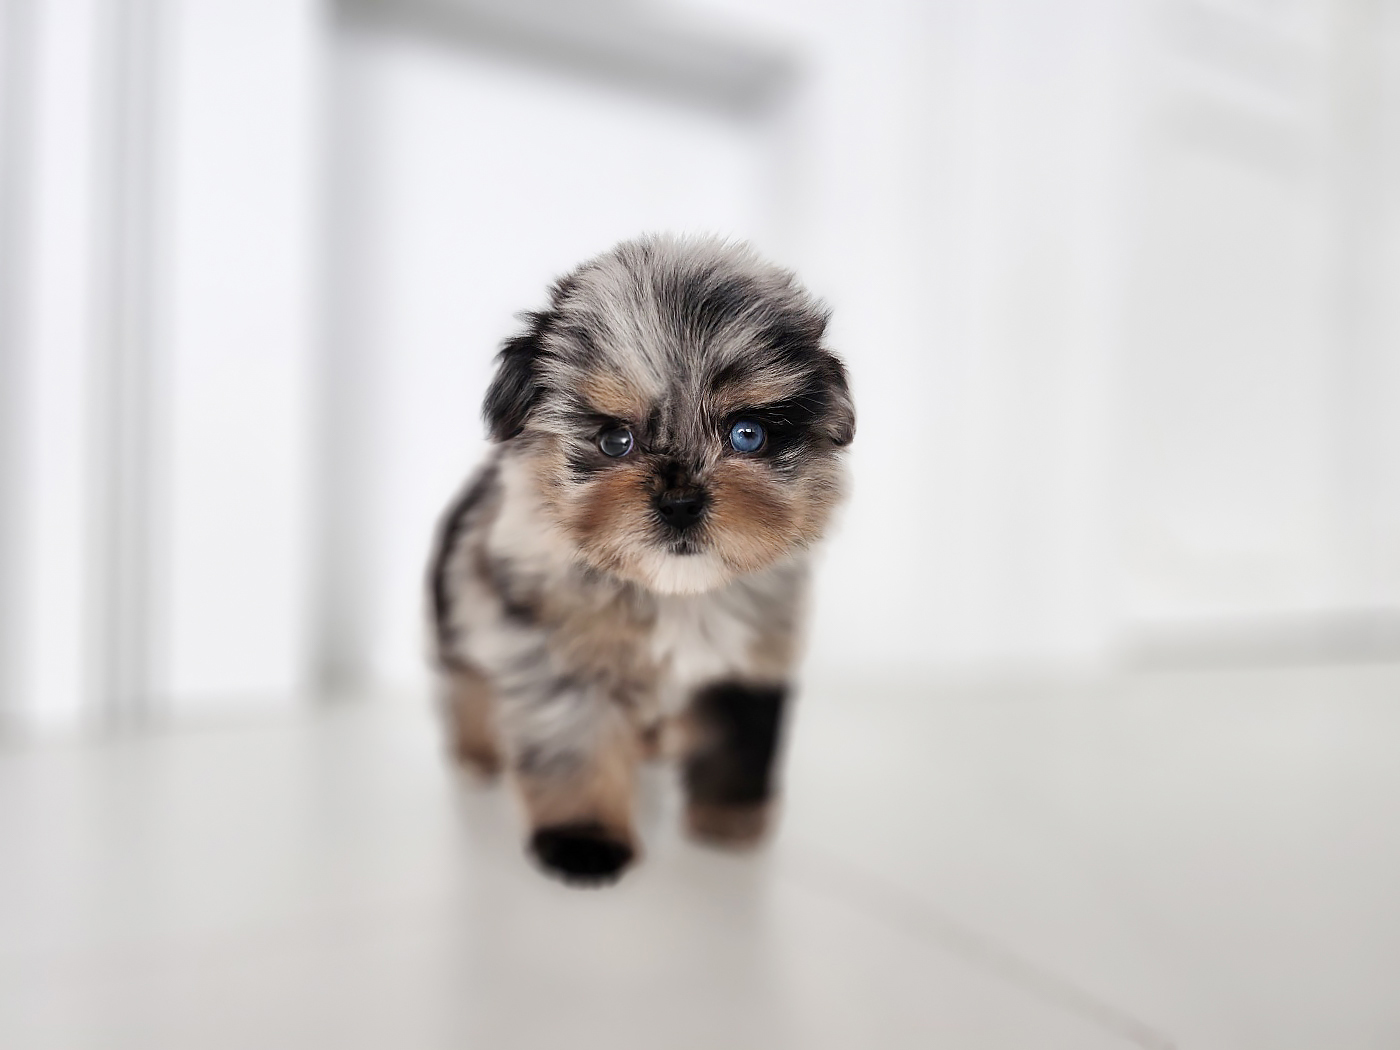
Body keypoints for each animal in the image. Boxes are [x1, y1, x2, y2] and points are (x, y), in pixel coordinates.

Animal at [427, 234, 854, 885]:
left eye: (747, 435)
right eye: (614, 441)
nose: (680, 501)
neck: (671, 592)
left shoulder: (749, 660)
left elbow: (741, 739)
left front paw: (729, 821)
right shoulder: (558, 660)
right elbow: (574, 749)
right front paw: (584, 839)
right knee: (467, 681)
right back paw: (477, 752)